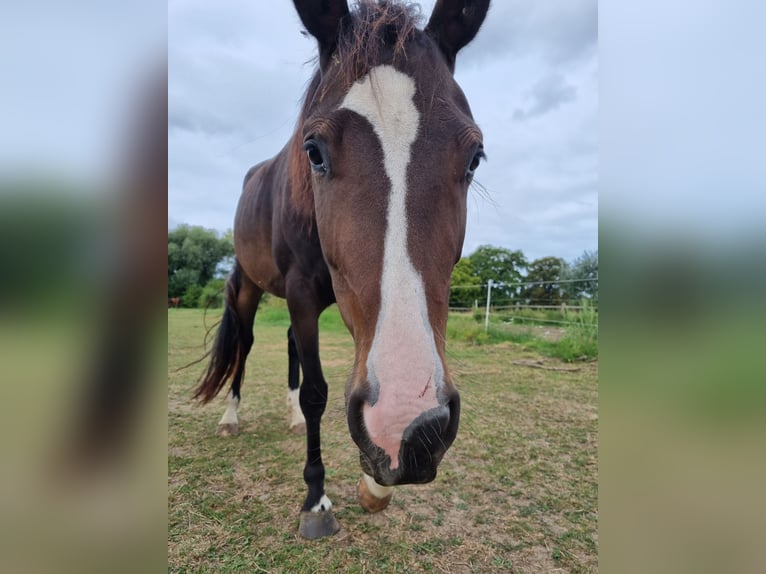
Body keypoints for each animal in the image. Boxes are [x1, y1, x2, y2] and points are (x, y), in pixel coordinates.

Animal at [194, 0, 490, 539]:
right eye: (313, 150)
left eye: (475, 158)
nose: (409, 426)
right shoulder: (301, 292)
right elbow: (317, 393)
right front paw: (316, 500)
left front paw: (374, 484)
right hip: (248, 289)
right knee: (245, 344)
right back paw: (231, 417)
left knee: (289, 341)